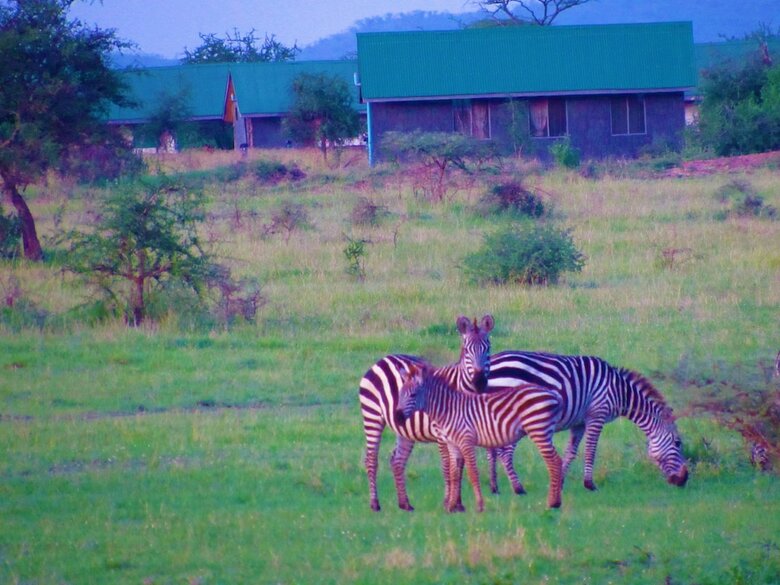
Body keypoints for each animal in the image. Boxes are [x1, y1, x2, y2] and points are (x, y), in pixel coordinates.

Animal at [358, 314, 524, 512]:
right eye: (466, 350)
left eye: (488, 347)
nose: (479, 381)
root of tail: (384, 359)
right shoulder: (441, 435)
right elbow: (447, 466)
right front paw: (448, 502)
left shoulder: (463, 432)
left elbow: (459, 465)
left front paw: (458, 503)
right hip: (372, 416)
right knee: (371, 459)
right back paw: (375, 504)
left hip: (403, 428)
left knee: (397, 461)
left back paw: (405, 504)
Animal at [395, 363, 564, 512]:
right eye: (400, 394)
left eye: (413, 395)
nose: (398, 418)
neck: (448, 410)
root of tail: (551, 393)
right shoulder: (452, 444)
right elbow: (454, 474)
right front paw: (451, 507)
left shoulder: (466, 440)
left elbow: (472, 473)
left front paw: (479, 505)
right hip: (543, 431)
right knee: (556, 461)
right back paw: (555, 501)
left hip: (538, 430)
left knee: (554, 462)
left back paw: (552, 503)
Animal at [484, 351, 689, 492]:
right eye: (678, 443)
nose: (684, 480)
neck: (619, 391)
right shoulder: (597, 415)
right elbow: (591, 450)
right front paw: (589, 484)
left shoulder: (579, 423)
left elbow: (571, 452)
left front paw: (560, 482)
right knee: (504, 452)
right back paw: (517, 487)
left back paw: (495, 487)